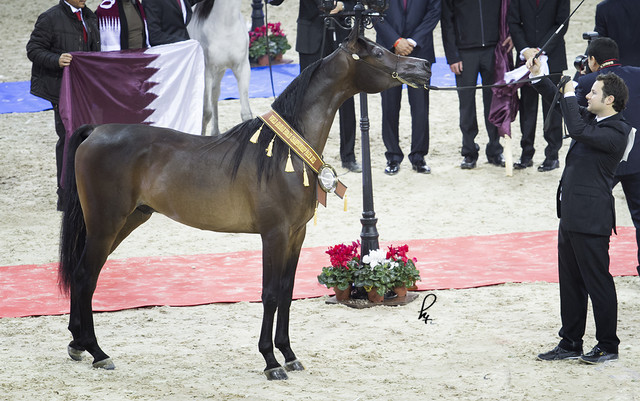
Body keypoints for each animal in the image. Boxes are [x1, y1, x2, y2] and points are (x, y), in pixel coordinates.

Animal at [58, 28, 431, 380]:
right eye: (378, 52)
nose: (424, 66)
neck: (284, 154)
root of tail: (95, 131)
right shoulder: (274, 234)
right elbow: (269, 294)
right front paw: (271, 361)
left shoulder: (296, 235)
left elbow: (286, 292)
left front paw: (289, 355)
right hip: (106, 224)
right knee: (85, 275)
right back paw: (97, 352)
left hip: (127, 221)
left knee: (82, 276)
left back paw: (77, 345)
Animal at [187, 0, 252, 135]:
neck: (226, 26)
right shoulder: (206, 72)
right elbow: (206, 113)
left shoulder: (243, 68)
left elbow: (246, 113)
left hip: (220, 71)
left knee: (214, 94)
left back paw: (215, 133)